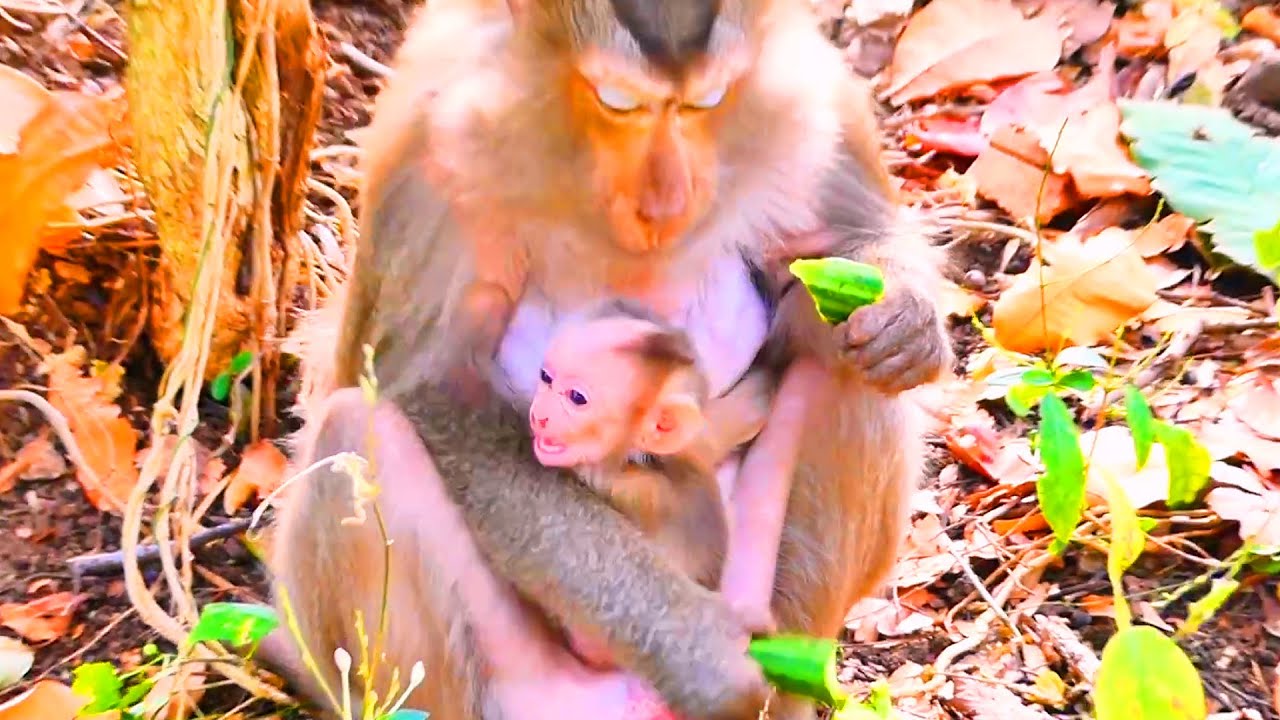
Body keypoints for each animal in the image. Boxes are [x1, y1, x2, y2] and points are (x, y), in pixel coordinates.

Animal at [266, 2, 954, 720]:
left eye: (705, 101)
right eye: (619, 103)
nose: (666, 201)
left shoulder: (818, 95)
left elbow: (850, 250)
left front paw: (905, 319)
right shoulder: (433, 153)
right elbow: (434, 387)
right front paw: (696, 653)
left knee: (852, 367)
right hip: (519, 687)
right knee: (351, 434)